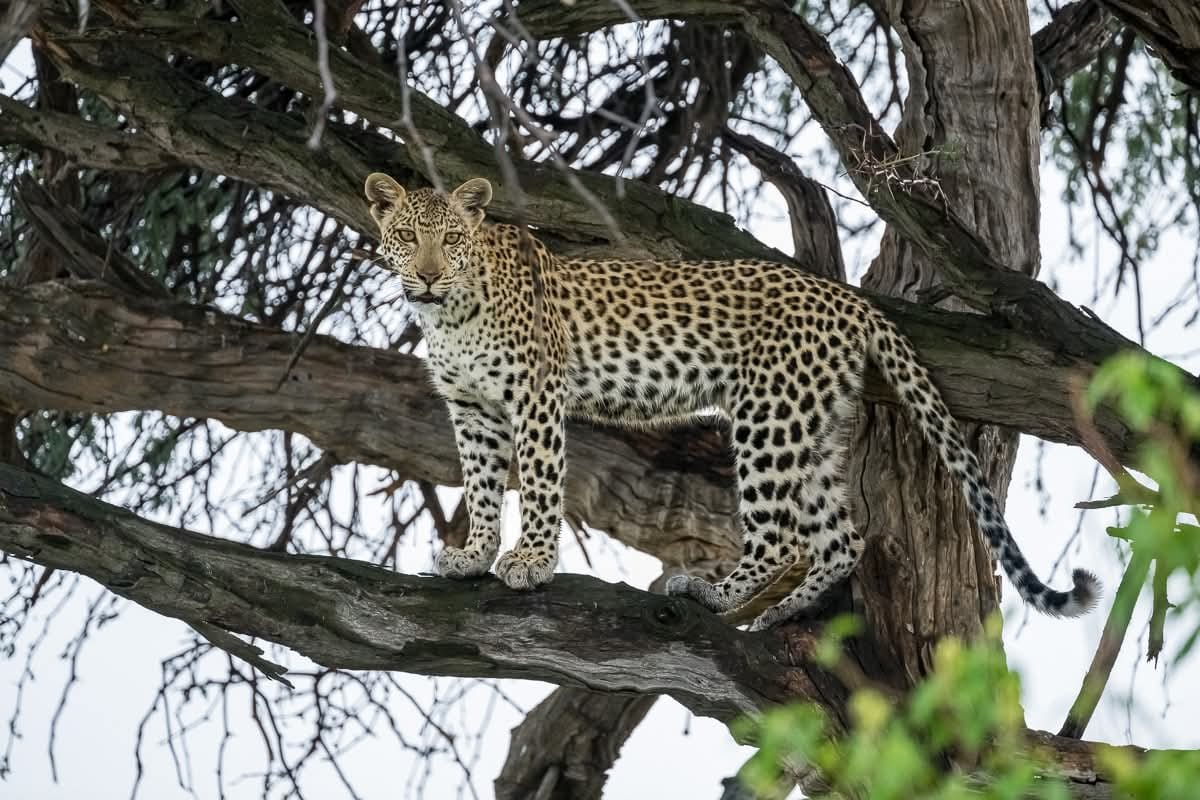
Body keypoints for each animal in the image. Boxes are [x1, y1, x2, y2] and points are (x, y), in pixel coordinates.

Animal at [364, 172, 1100, 630]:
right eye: (406, 236)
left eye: (452, 239)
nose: (426, 276)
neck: (450, 314)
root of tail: (847, 298)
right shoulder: (473, 410)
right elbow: (482, 484)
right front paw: (473, 554)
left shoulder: (536, 398)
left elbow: (541, 485)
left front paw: (532, 563)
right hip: (813, 425)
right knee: (839, 535)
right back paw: (779, 612)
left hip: (766, 417)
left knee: (780, 535)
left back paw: (713, 594)